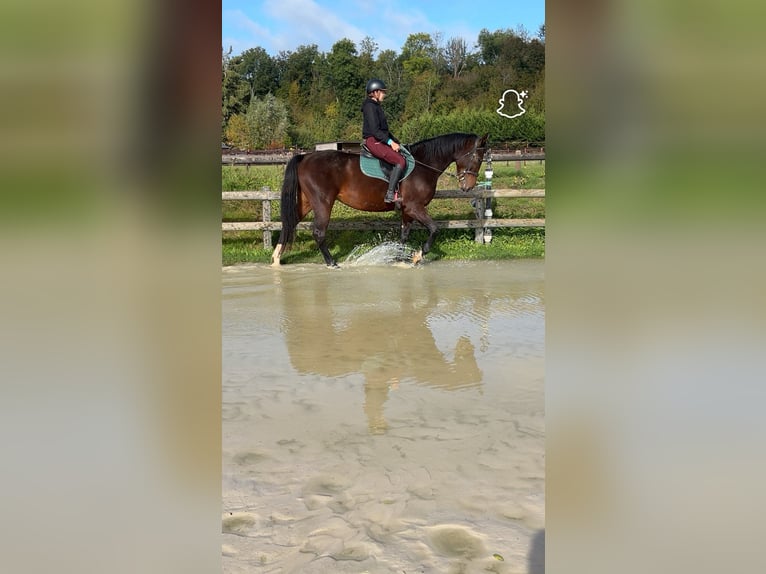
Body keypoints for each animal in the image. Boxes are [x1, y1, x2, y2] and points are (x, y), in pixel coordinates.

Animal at [271, 132, 489, 267]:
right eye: (477, 158)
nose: (468, 187)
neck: (423, 165)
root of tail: (305, 157)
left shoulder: (407, 211)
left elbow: (404, 236)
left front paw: (399, 259)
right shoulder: (415, 207)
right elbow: (434, 229)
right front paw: (417, 256)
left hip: (307, 202)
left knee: (289, 223)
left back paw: (276, 259)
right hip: (323, 202)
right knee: (318, 232)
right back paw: (331, 263)